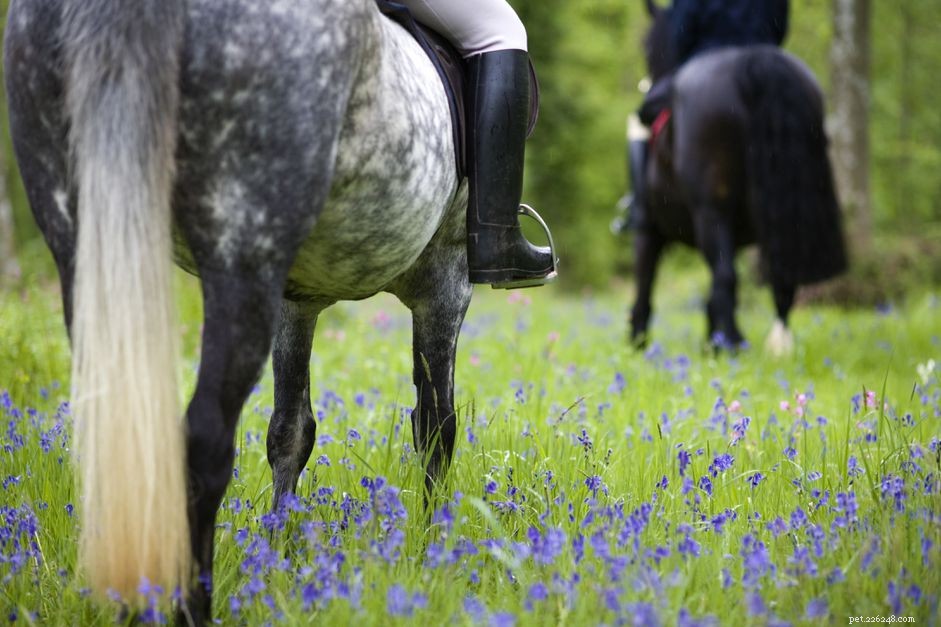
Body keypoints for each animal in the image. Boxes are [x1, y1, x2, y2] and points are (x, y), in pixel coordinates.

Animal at [4, 0, 476, 621]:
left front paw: (276, 557)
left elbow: (291, 432)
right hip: (240, 257)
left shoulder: (296, 301)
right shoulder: (446, 284)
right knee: (202, 446)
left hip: (85, 247)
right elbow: (436, 427)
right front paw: (431, 554)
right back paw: (192, 607)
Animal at [628, 0, 847, 353]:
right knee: (781, 281)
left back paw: (731, 343)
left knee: (725, 277)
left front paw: (636, 343)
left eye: (648, 48)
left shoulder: (649, 229)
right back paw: (768, 345)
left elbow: (645, 286)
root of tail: (754, 60)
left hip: (710, 211)